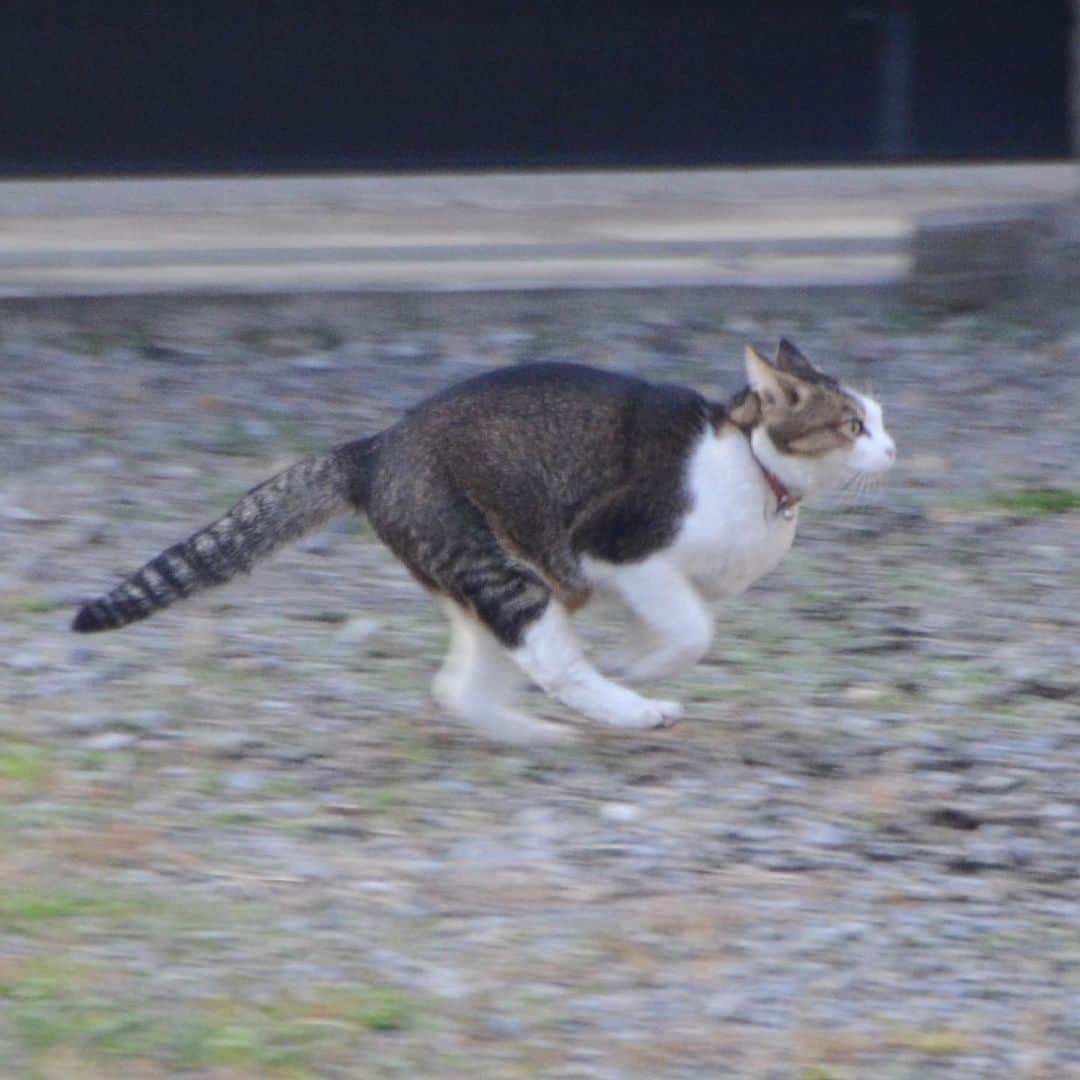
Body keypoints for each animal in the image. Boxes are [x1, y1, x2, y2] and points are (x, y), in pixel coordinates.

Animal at [69, 336, 894, 743]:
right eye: (853, 424)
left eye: (880, 419)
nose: (892, 449)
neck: (753, 471)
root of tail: (376, 447)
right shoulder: (615, 549)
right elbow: (693, 629)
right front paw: (639, 670)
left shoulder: (624, 580)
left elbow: (682, 626)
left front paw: (637, 658)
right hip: (507, 574)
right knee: (554, 666)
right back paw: (628, 711)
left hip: (503, 581)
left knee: (460, 687)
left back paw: (537, 734)